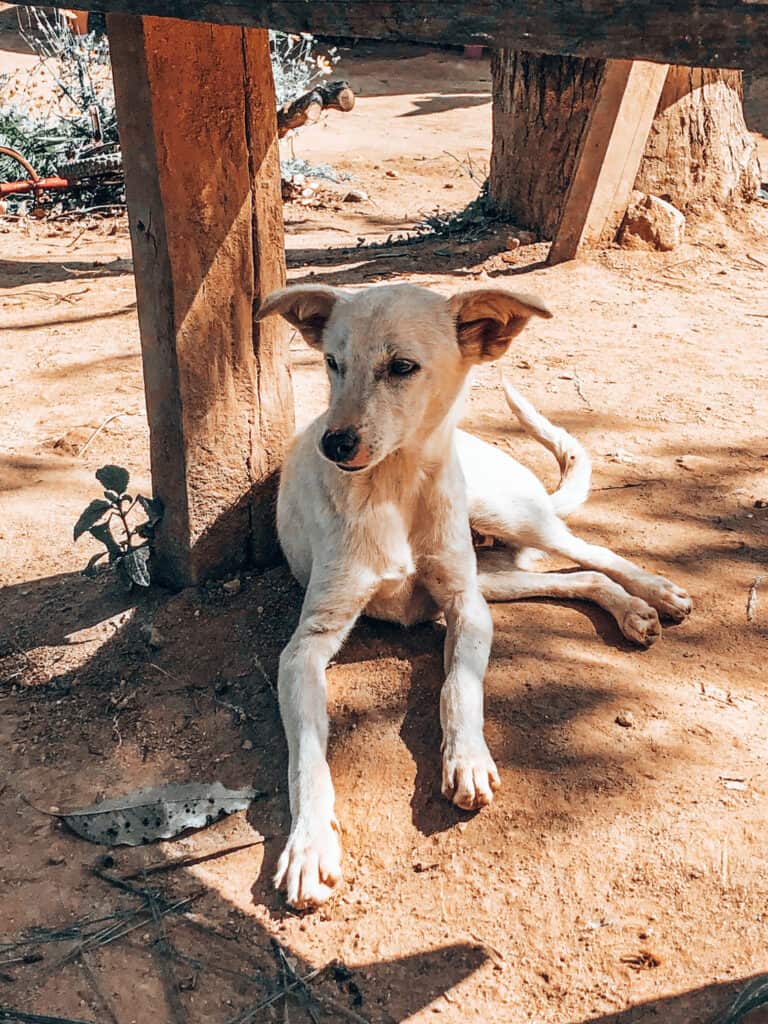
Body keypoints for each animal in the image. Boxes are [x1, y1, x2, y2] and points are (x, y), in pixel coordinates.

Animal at [257, 282, 692, 913]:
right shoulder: (306, 647)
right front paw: (310, 845)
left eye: (402, 367)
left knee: (586, 547)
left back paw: (653, 591)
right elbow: (307, 757)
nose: (333, 444)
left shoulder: (464, 606)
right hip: (490, 572)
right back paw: (631, 609)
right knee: (574, 577)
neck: (396, 487)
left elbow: (458, 687)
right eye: (333, 363)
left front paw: (466, 758)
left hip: (503, 517)